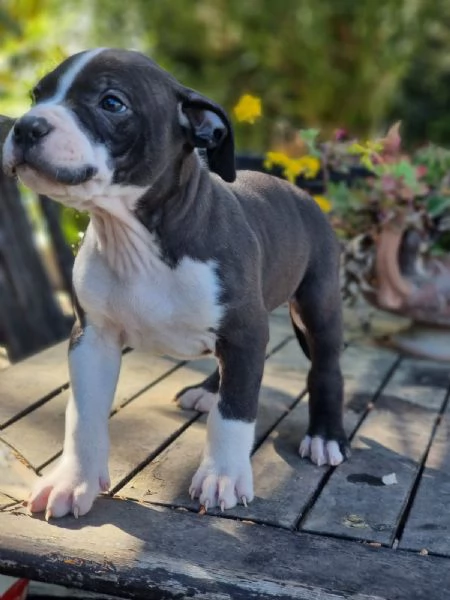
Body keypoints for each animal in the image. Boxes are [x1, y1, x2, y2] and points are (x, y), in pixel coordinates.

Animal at [0, 48, 348, 520]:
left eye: (112, 103)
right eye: (38, 95)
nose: (24, 126)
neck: (137, 239)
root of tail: (299, 193)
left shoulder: (244, 330)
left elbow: (235, 413)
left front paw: (222, 476)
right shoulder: (92, 338)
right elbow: (83, 416)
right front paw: (73, 482)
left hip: (318, 303)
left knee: (325, 367)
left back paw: (325, 435)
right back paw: (208, 391)